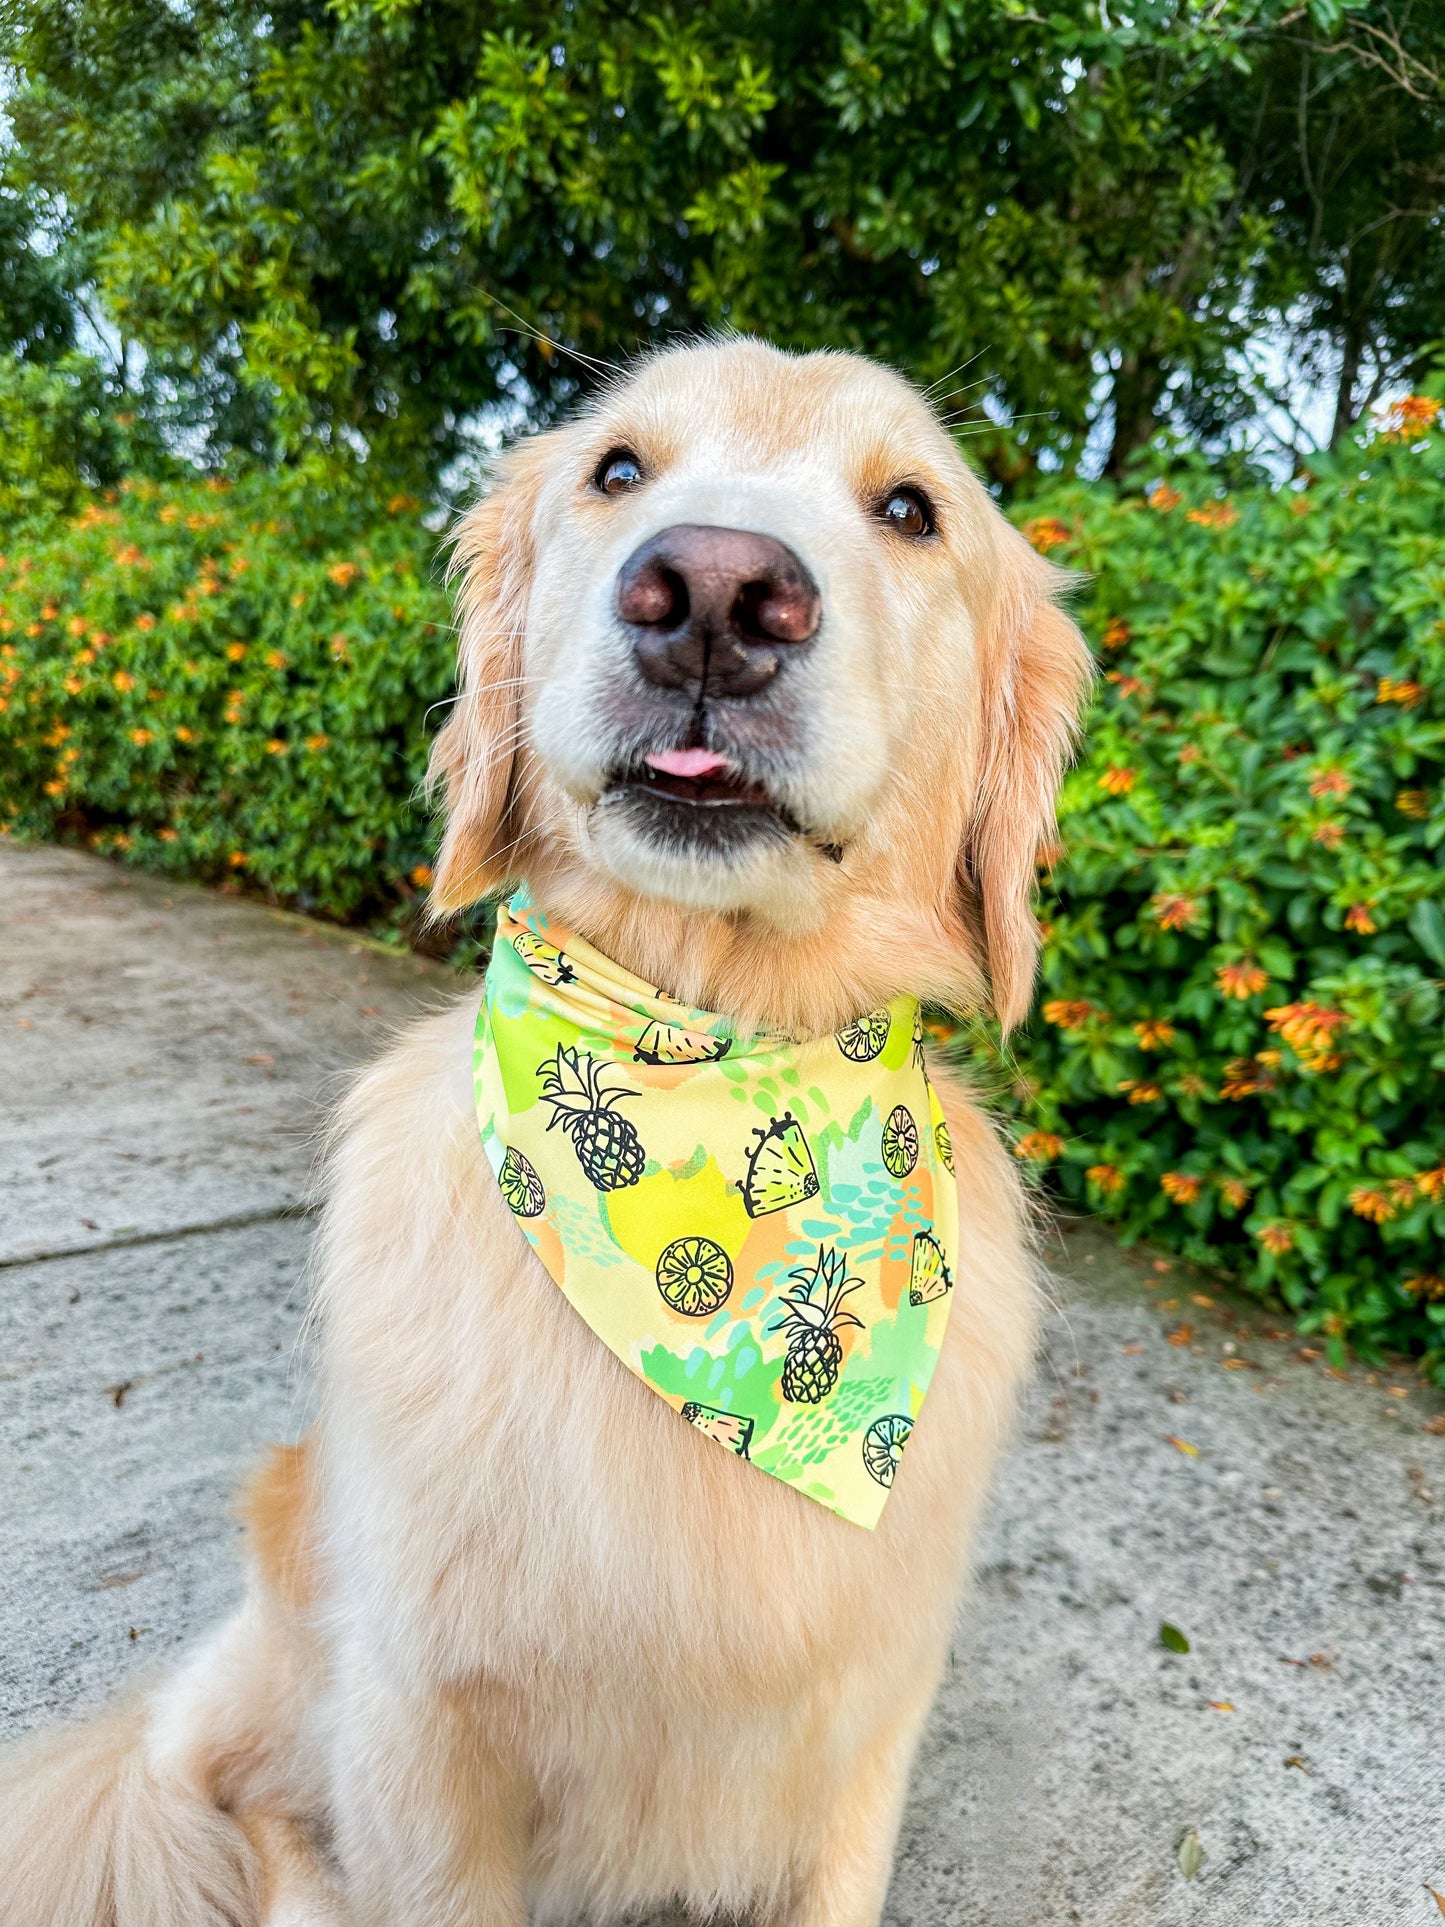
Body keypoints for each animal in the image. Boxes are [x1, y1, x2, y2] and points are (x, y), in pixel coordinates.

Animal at [0, 339, 1086, 1919]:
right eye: (617, 469)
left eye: (909, 508)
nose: (713, 593)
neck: (704, 1042)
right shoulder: (421, 1728)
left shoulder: (864, 1730)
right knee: (220, 1794)